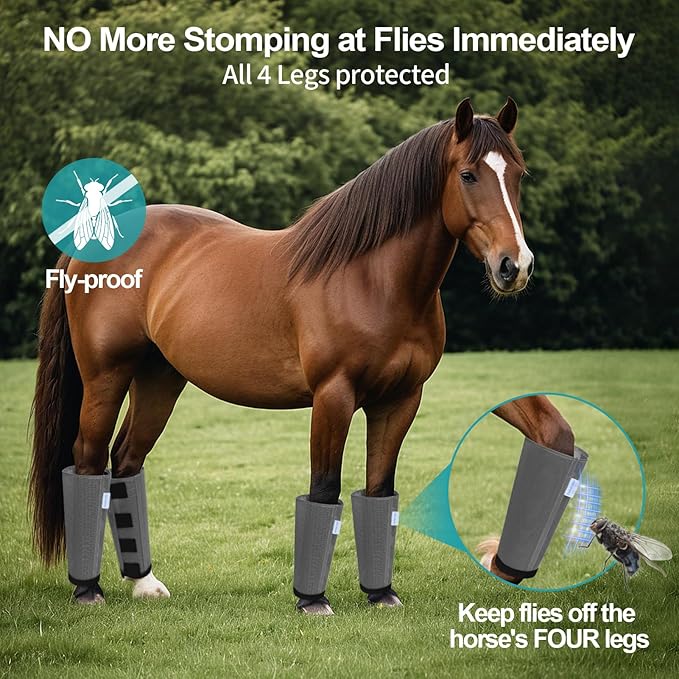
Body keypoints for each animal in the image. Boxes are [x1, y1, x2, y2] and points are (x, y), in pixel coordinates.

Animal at [29, 97, 574, 614]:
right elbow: (325, 489)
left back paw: (144, 583)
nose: (515, 266)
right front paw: (314, 601)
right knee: (87, 461)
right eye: (468, 174)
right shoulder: (333, 397)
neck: (372, 280)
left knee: (125, 461)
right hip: (106, 377)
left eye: (518, 173)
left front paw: (381, 595)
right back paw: (88, 590)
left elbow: (379, 491)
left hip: (159, 379)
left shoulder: (400, 401)